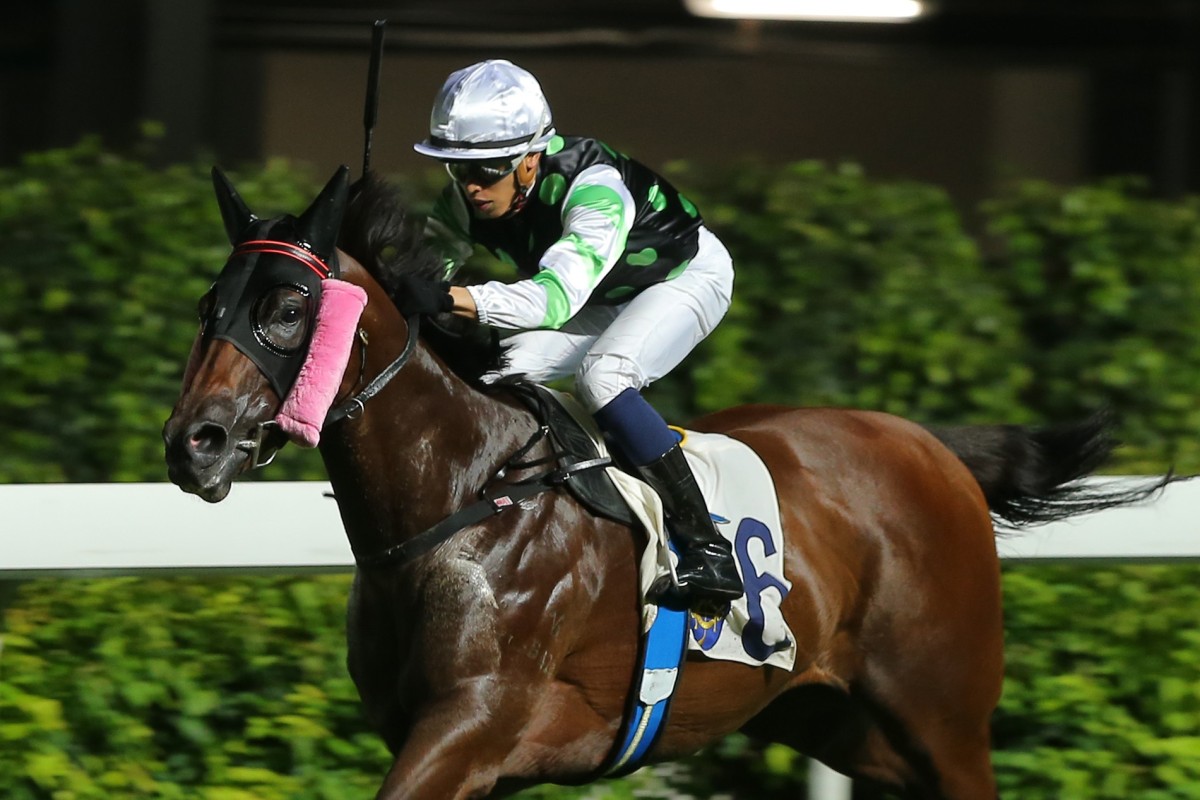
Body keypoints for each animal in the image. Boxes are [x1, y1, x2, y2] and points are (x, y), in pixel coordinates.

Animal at [164, 165, 1156, 796]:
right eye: (210, 304)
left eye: (290, 308)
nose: (193, 443)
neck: (462, 502)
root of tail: (933, 450)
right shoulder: (445, 742)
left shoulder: (470, 726)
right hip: (839, 722)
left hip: (941, 716)